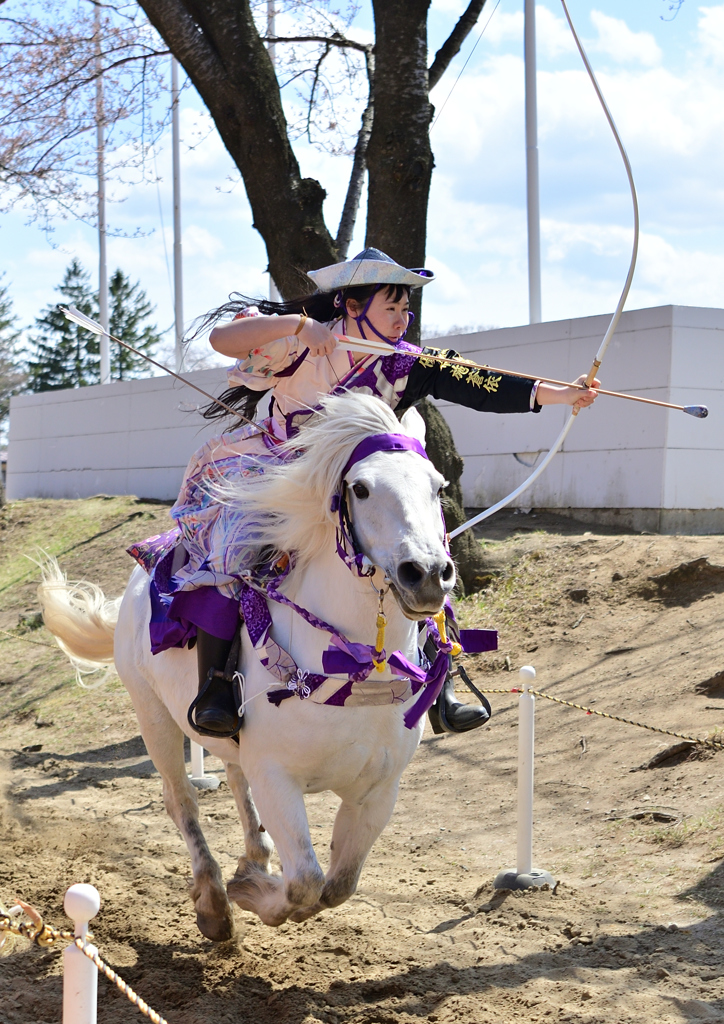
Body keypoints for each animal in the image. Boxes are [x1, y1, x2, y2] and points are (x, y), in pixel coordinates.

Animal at [38, 395, 452, 937]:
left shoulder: (378, 790)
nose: (426, 574)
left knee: (235, 779)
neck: (354, 670)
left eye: (438, 487)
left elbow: (339, 884)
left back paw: (254, 855)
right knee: (181, 801)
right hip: (152, 714)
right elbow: (306, 883)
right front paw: (251, 894)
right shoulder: (277, 777)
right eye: (361, 488)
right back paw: (215, 902)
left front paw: (255, 876)